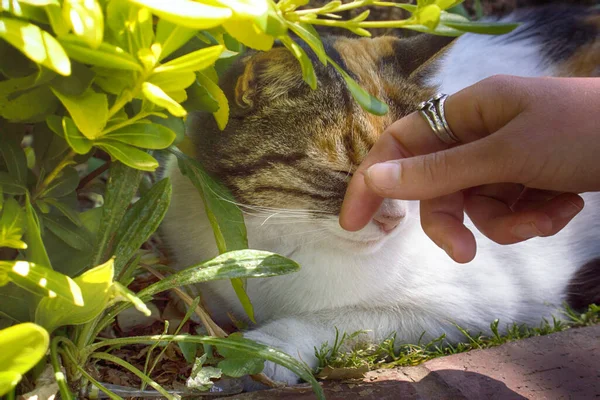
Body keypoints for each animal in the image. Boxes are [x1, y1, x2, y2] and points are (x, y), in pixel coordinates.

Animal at [159, 3, 600, 384]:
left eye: (409, 162)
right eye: (340, 172)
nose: (394, 218)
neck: (277, 245)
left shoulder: (471, 305)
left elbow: (341, 319)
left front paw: (268, 349)